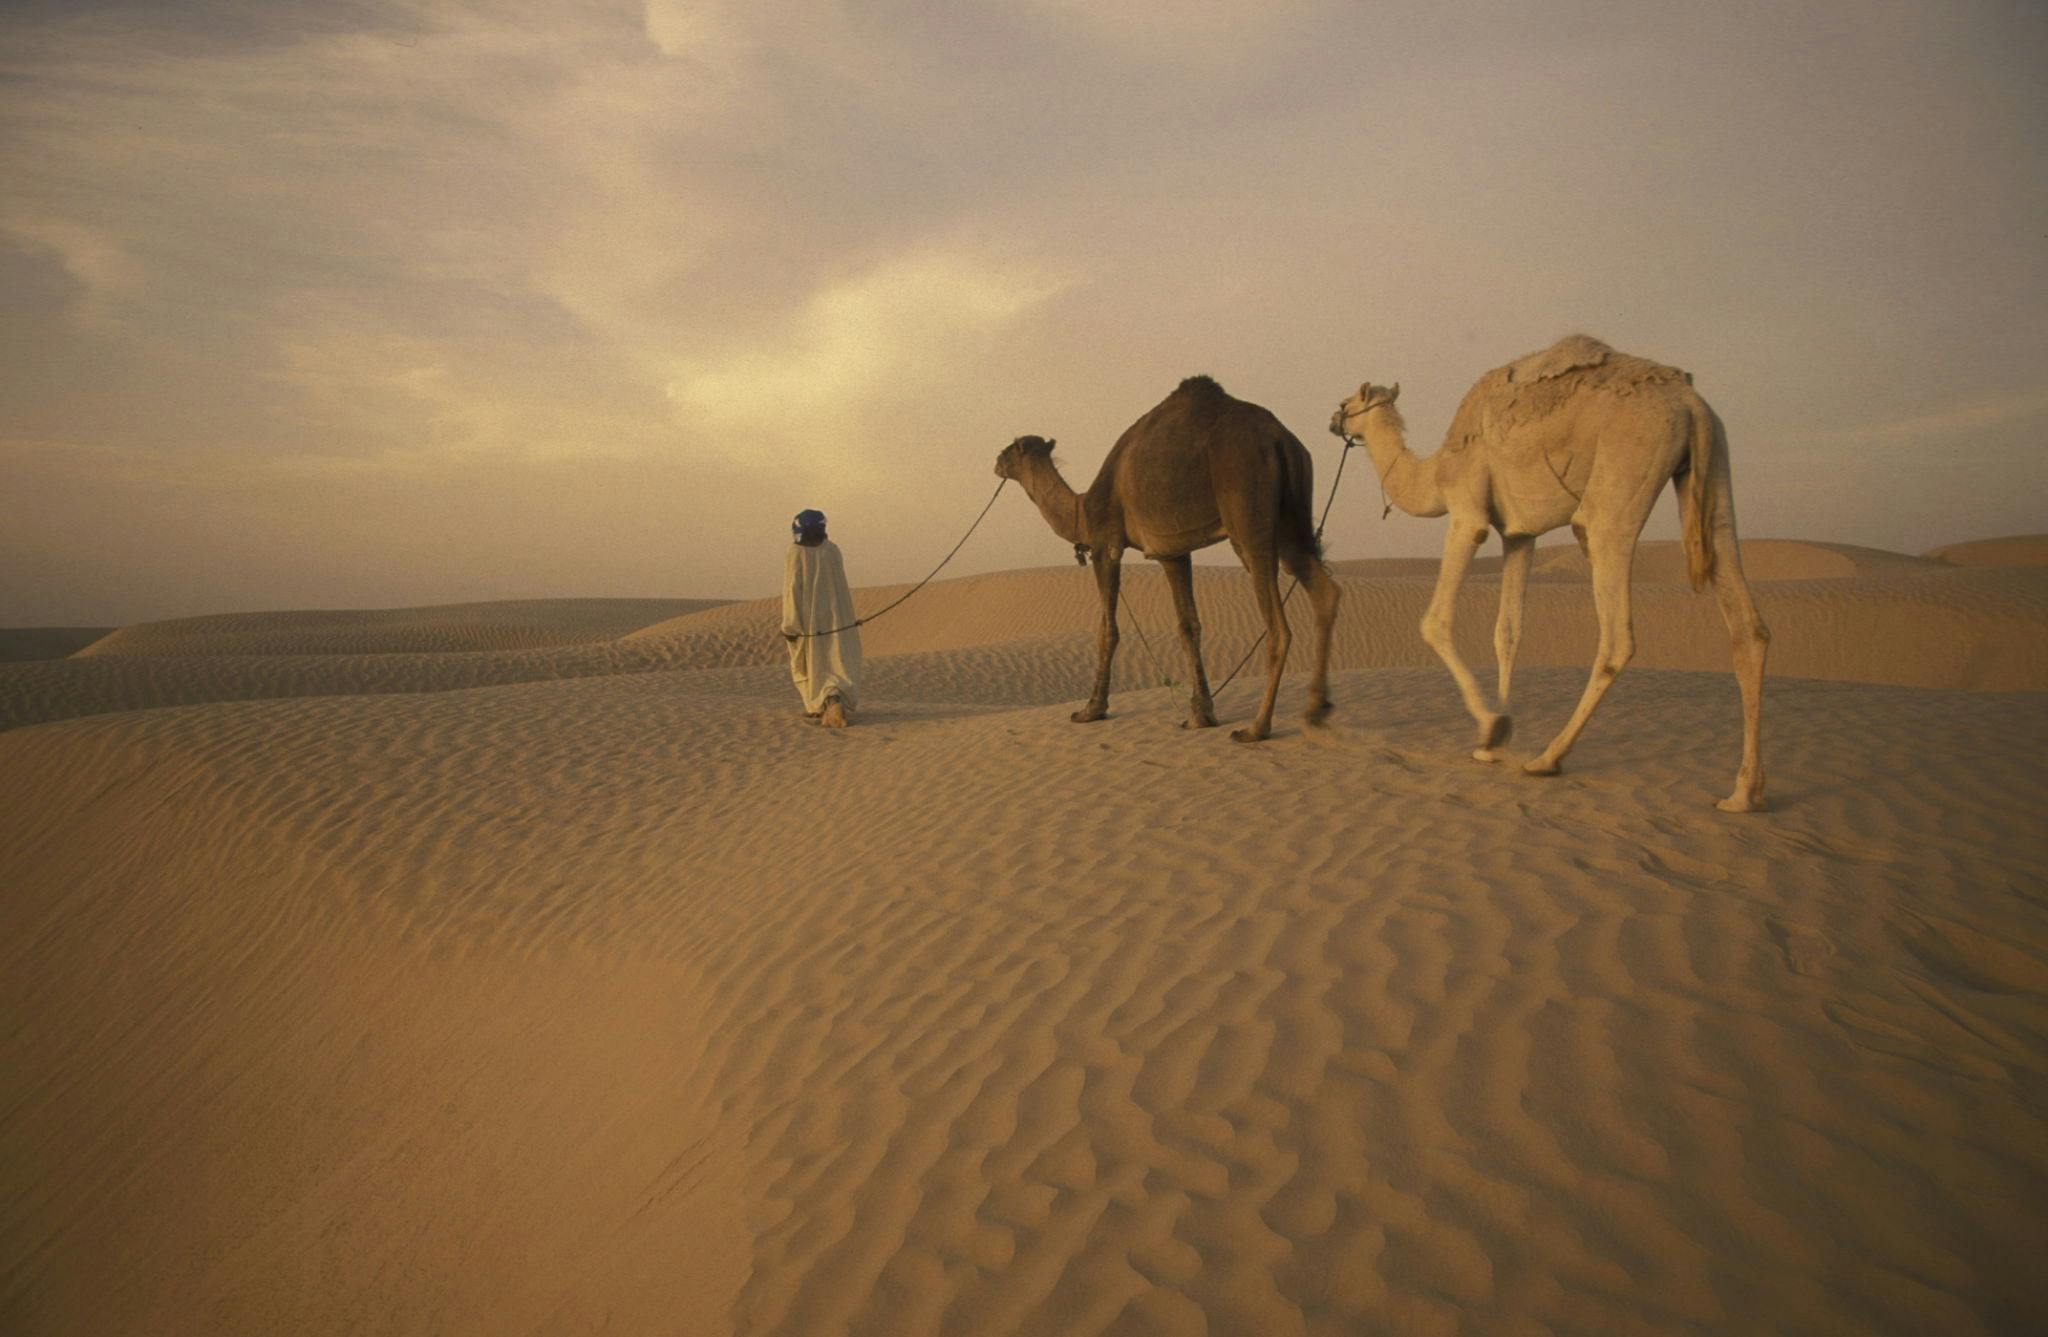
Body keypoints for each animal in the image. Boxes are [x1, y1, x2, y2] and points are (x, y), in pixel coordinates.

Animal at [995, 374, 1343, 741]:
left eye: (1012, 447)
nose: (996, 461)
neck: (1083, 509)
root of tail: (1281, 440)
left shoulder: (1106, 544)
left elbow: (1107, 629)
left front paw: (1091, 709)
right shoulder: (1172, 551)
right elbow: (1188, 626)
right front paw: (1200, 714)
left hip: (1248, 514)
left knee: (1278, 624)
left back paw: (1256, 727)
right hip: (1292, 521)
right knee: (1323, 589)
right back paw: (1316, 708)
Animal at [1335, 339, 1769, 806]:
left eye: (1347, 402)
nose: (1332, 420)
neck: (1436, 472)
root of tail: (1691, 404)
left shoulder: (1468, 514)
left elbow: (1434, 622)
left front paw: (1491, 728)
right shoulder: (1519, 534)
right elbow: (1507, 633)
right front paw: (1494, 742)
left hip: (1626, 470)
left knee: (1615, 628)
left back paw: (1547, 758)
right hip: (1713, 471)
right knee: (1747, 623)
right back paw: (1743, 793)